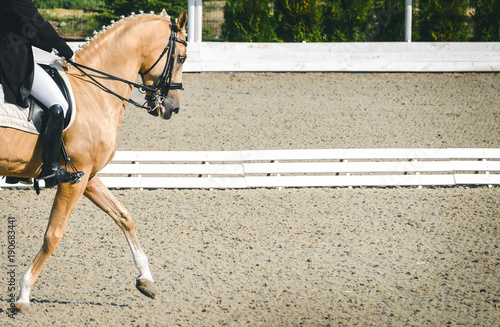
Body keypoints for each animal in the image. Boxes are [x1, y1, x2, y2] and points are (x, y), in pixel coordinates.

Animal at [0, 10, 188, 312]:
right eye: (181, 57)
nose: (172, 107)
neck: (94, 91)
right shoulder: (73, 181)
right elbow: (53, 234)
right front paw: (24, 294)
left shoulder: (87, 176)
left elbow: (124, 216)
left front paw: (146, 278)